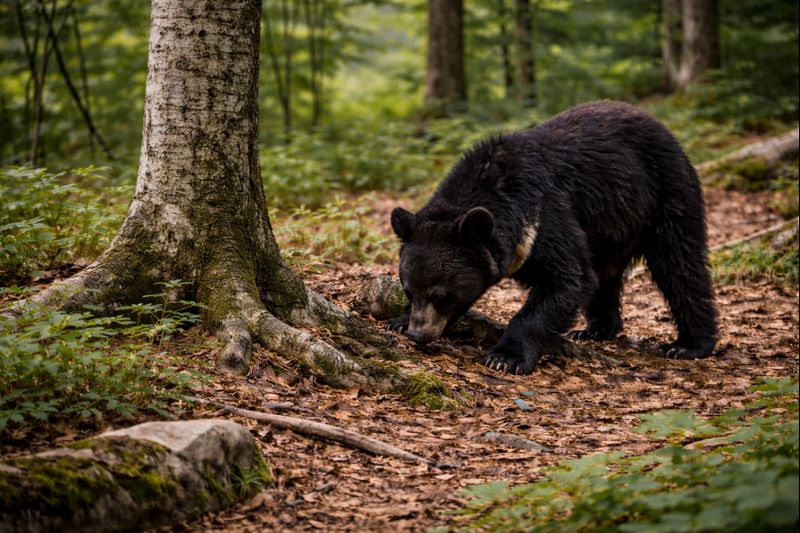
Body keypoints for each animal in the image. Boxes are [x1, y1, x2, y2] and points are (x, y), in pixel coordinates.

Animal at [389, 100, 718, 375]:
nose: (419, 334)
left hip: (666, 193)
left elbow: (567, 279)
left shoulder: (545, 217)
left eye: (441, 296)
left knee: (679, 265)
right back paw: (595, 329)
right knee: (605, 277)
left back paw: (688, 344)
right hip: (610, 227)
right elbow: (580, 279)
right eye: (409, 290)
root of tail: (654, 121)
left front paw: (506, 356)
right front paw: (398, 321)